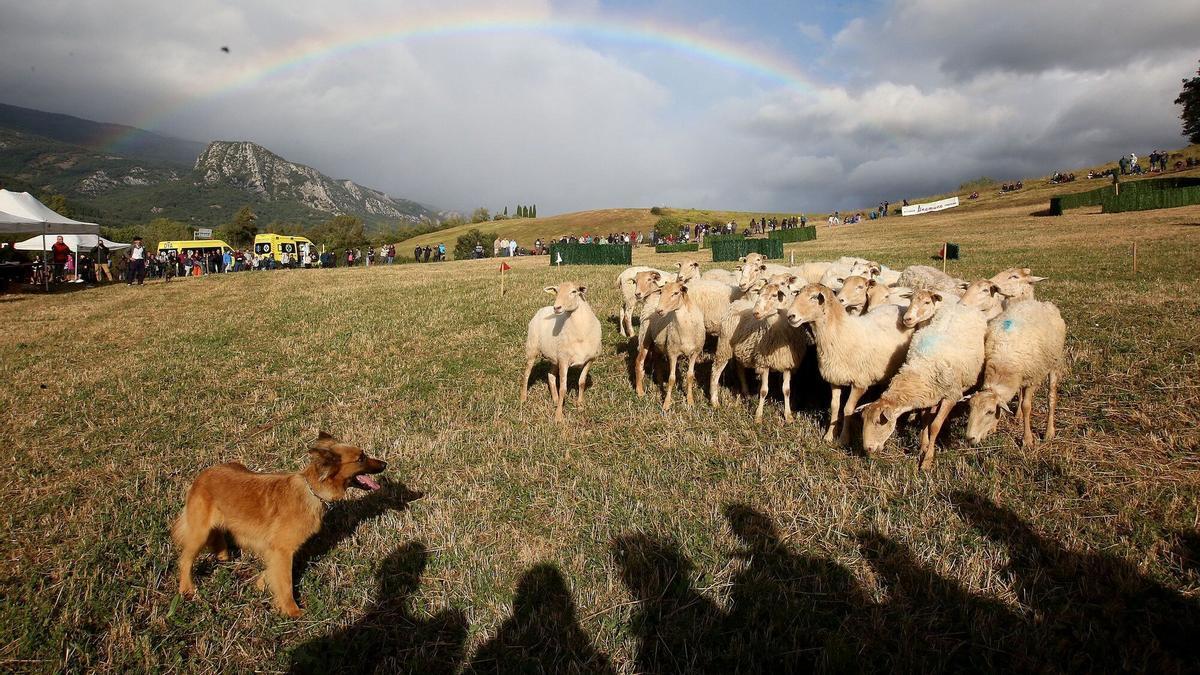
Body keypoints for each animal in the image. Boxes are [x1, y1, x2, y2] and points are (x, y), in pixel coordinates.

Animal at [171, 429, 386, 614]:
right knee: (185, 560)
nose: (385, 464)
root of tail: (203, 475)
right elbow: (285, 582)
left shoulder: (275, 550)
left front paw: (261, 583)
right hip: (199, 533)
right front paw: (291, 610)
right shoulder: (282, 550)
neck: (312, 490)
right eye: (361, 458)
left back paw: (223, 556)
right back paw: (187, 588)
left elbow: (273, 572)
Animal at [520, 279, 604, 420]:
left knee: (550, 375)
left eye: (574, 291)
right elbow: (563, 388)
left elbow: (581, 382)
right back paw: (523, 398)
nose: (557, 308)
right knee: (527, 374)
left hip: (554, 356)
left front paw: (580, 406)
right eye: (556, 291)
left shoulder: (590, 359)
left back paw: (554, 399)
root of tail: (543, 308)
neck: (581, 332)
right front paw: (558, 416)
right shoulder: (564, 360)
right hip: (532, 348)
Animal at [782, 282, 912, 444]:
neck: (841, 333)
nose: (790, 316)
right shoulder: (835, 378)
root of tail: (900, 306)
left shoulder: (859, 384)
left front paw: (843, 439)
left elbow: (847, 410)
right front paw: (829, 436)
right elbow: (835, 406)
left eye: (813, 297)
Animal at [859, 296, 988, 470]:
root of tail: (962, 303)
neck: (920, 369)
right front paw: (923, 447)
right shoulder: (928, 393)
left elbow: (935, 426)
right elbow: (925, 420)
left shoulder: (951, 396)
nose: (868, 449)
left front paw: (927, 460)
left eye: (880, 422)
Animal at [964, 297, 1070, 446]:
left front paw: (1027, 440)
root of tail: (1041, 303)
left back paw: (1049, 432)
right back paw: (1018, 414)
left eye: (989, 412)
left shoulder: (1033, 378)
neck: (1002, 363)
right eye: (970, 408)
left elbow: (1027, 406)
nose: (969, 438)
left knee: (1051, 396)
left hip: (1055, 362)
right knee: (1020, 390)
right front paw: (994, 427)